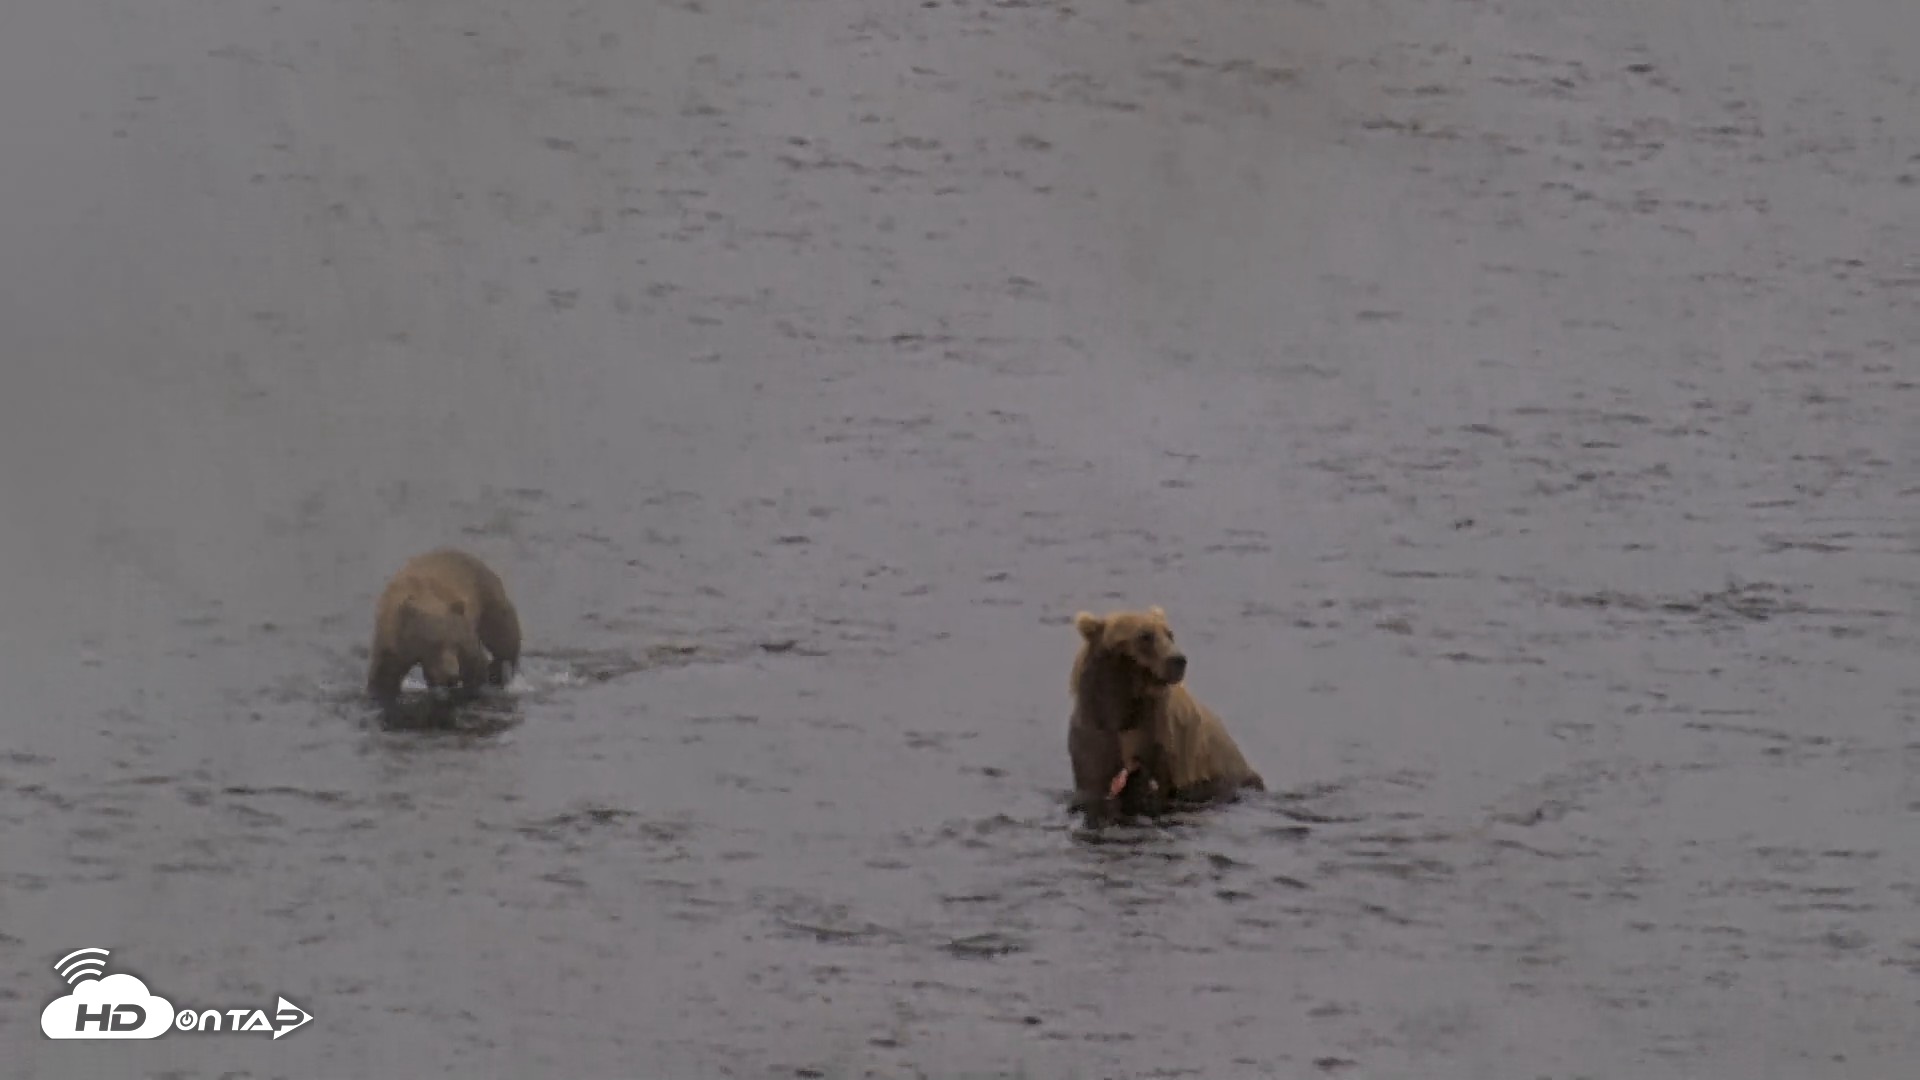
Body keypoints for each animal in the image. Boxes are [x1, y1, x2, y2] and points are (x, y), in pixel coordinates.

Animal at [366, 548, 522, 703]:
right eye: (435, 643)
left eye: (456, 643)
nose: (452, 674)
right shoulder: (392, 645)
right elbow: (384, 677)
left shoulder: (465, 640)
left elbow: (475, 666)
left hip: (489, 601)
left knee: (504, 638)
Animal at [1067, 605, 1264, 819]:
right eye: (1145, 635)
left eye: (1170, 634)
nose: (1178, 660)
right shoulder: (1095, 730)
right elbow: (1093, 780)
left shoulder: (1160, 737)